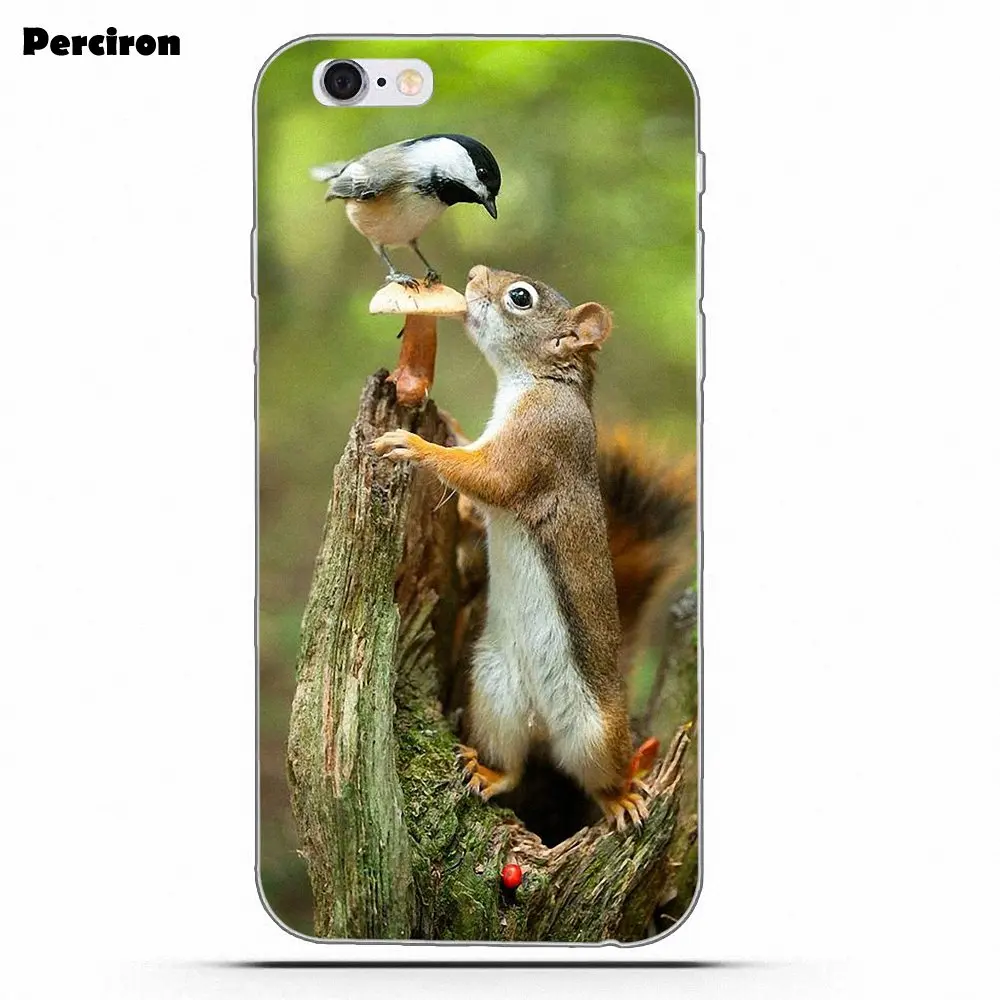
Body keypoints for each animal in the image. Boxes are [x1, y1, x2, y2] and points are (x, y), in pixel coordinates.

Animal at [373, 265, 694, 830]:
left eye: (519, 298)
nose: (474, 274)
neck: (537, 381)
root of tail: (543, 724)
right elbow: (476, 491)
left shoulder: (539, 442)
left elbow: (489, 479)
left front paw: (414, 445)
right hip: (494, 694)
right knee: (514, 766)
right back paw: (488, 773)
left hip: (596, 731)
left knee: (600, 777)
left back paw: (622, 797)